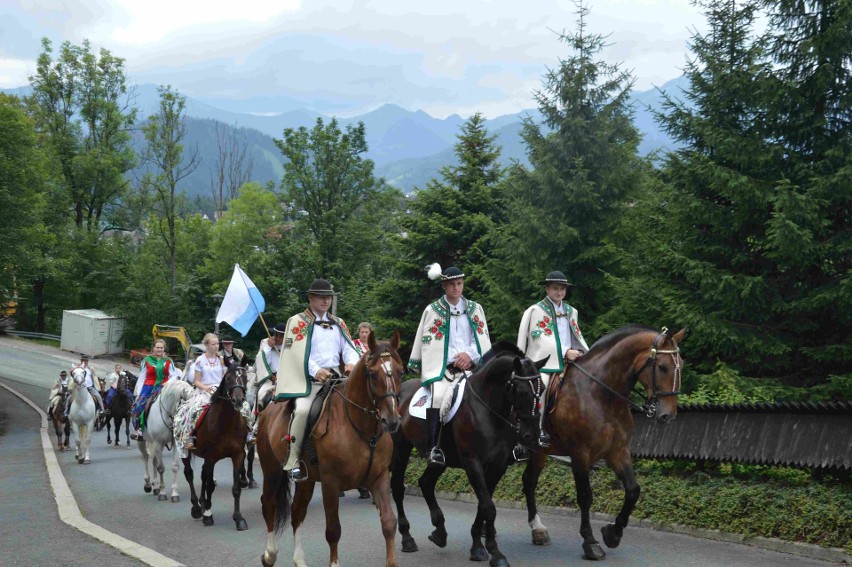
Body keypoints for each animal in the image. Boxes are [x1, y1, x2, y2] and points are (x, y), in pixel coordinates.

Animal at [179, 360, 248, 532]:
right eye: (228, 377)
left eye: (245, 377)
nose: (238, 400)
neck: (226, 423)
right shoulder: (211, 457)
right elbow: (210, 484)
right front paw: (208, 516)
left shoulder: (238, 455)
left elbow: (236, 488)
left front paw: (239, 518)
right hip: (184, 451)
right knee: (189, 474)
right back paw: (197, 508)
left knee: (203, 475)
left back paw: (203, 503)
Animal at [256, 332, 402, 567]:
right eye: (372, 373)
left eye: (400, 371)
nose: (392, 420)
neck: (361, 428)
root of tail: (268, 407)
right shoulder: (331, 484)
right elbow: (333, 530)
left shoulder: (379, 478)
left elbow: (389, 523)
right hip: (272, 471)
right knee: (268, 505)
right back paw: (270, 555)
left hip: (305, 481)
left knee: (297, 511)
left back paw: (299, 560)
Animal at [392, 342, 548, 567]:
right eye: (521, 391)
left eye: (542, 389)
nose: (532, 435)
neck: (488, 409)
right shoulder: (472, 463)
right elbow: (489, 507)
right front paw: (496, 553)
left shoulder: (497, 466)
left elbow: (484, 505)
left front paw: (478, 546)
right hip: (400, 450)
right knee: (397, 487)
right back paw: (407, 538)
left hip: (441, 460)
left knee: (426, 482)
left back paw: (439, 531)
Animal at [520, 326, 684, 560]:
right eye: (662, 367)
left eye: (682, 366)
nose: (667, 415)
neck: (601, 395)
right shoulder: (580, 455)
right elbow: (585, 497)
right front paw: (590, 543)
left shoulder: (618, 452)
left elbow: (633, 490)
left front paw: (613, 533)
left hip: (539, 452)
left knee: (529, 482)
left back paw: (538, 530)